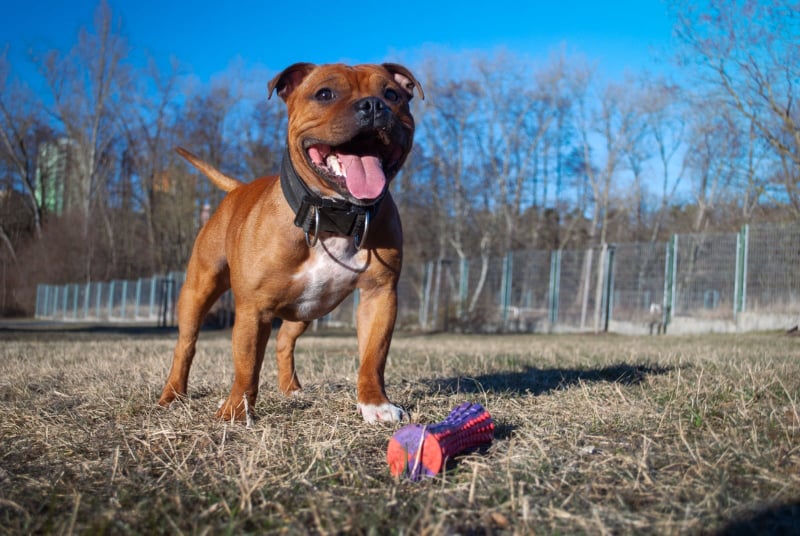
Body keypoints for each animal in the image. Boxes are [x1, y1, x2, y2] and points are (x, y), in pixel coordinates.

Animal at [157, 63, 423, 423]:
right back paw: (172, 395)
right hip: (198, 289)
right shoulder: (253, 308)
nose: (372, 105)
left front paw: (375, 404)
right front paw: (235, 411)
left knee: (285, 340)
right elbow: (247, 364)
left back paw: (290, 389)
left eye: (392, 95)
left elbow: (373, 356)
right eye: (325, 93)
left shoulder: (379, 295)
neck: (331, 215)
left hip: (307, 306)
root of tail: (238, 189)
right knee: (185, 344)